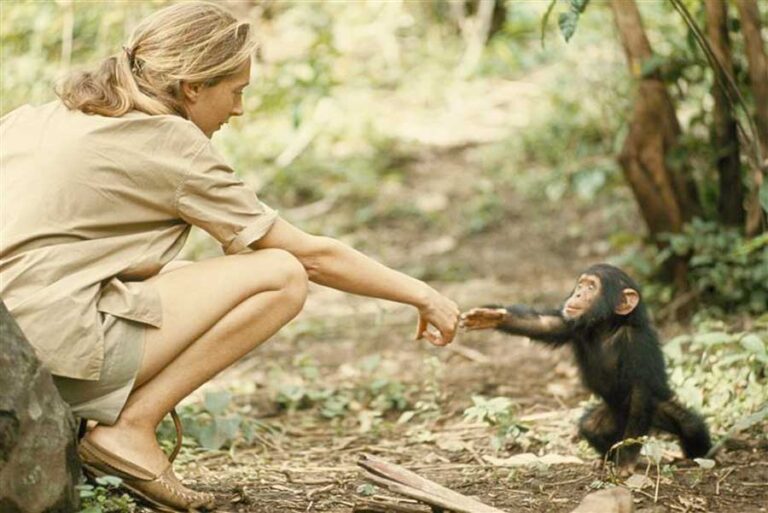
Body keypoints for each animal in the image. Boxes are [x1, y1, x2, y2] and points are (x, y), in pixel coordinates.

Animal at [461, 263, 712, 469]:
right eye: (581, 284)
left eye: (592, 287)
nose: (578, 293)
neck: (607, 327)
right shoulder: (570, 324)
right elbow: (543, 324)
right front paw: (492, 316)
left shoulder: (638, 346)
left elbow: (640, 392)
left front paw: (627, 462)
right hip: (612, 416)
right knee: (591, 427)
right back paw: (606, 458)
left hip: (654, 410)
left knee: (690, 426)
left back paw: (696, 457)